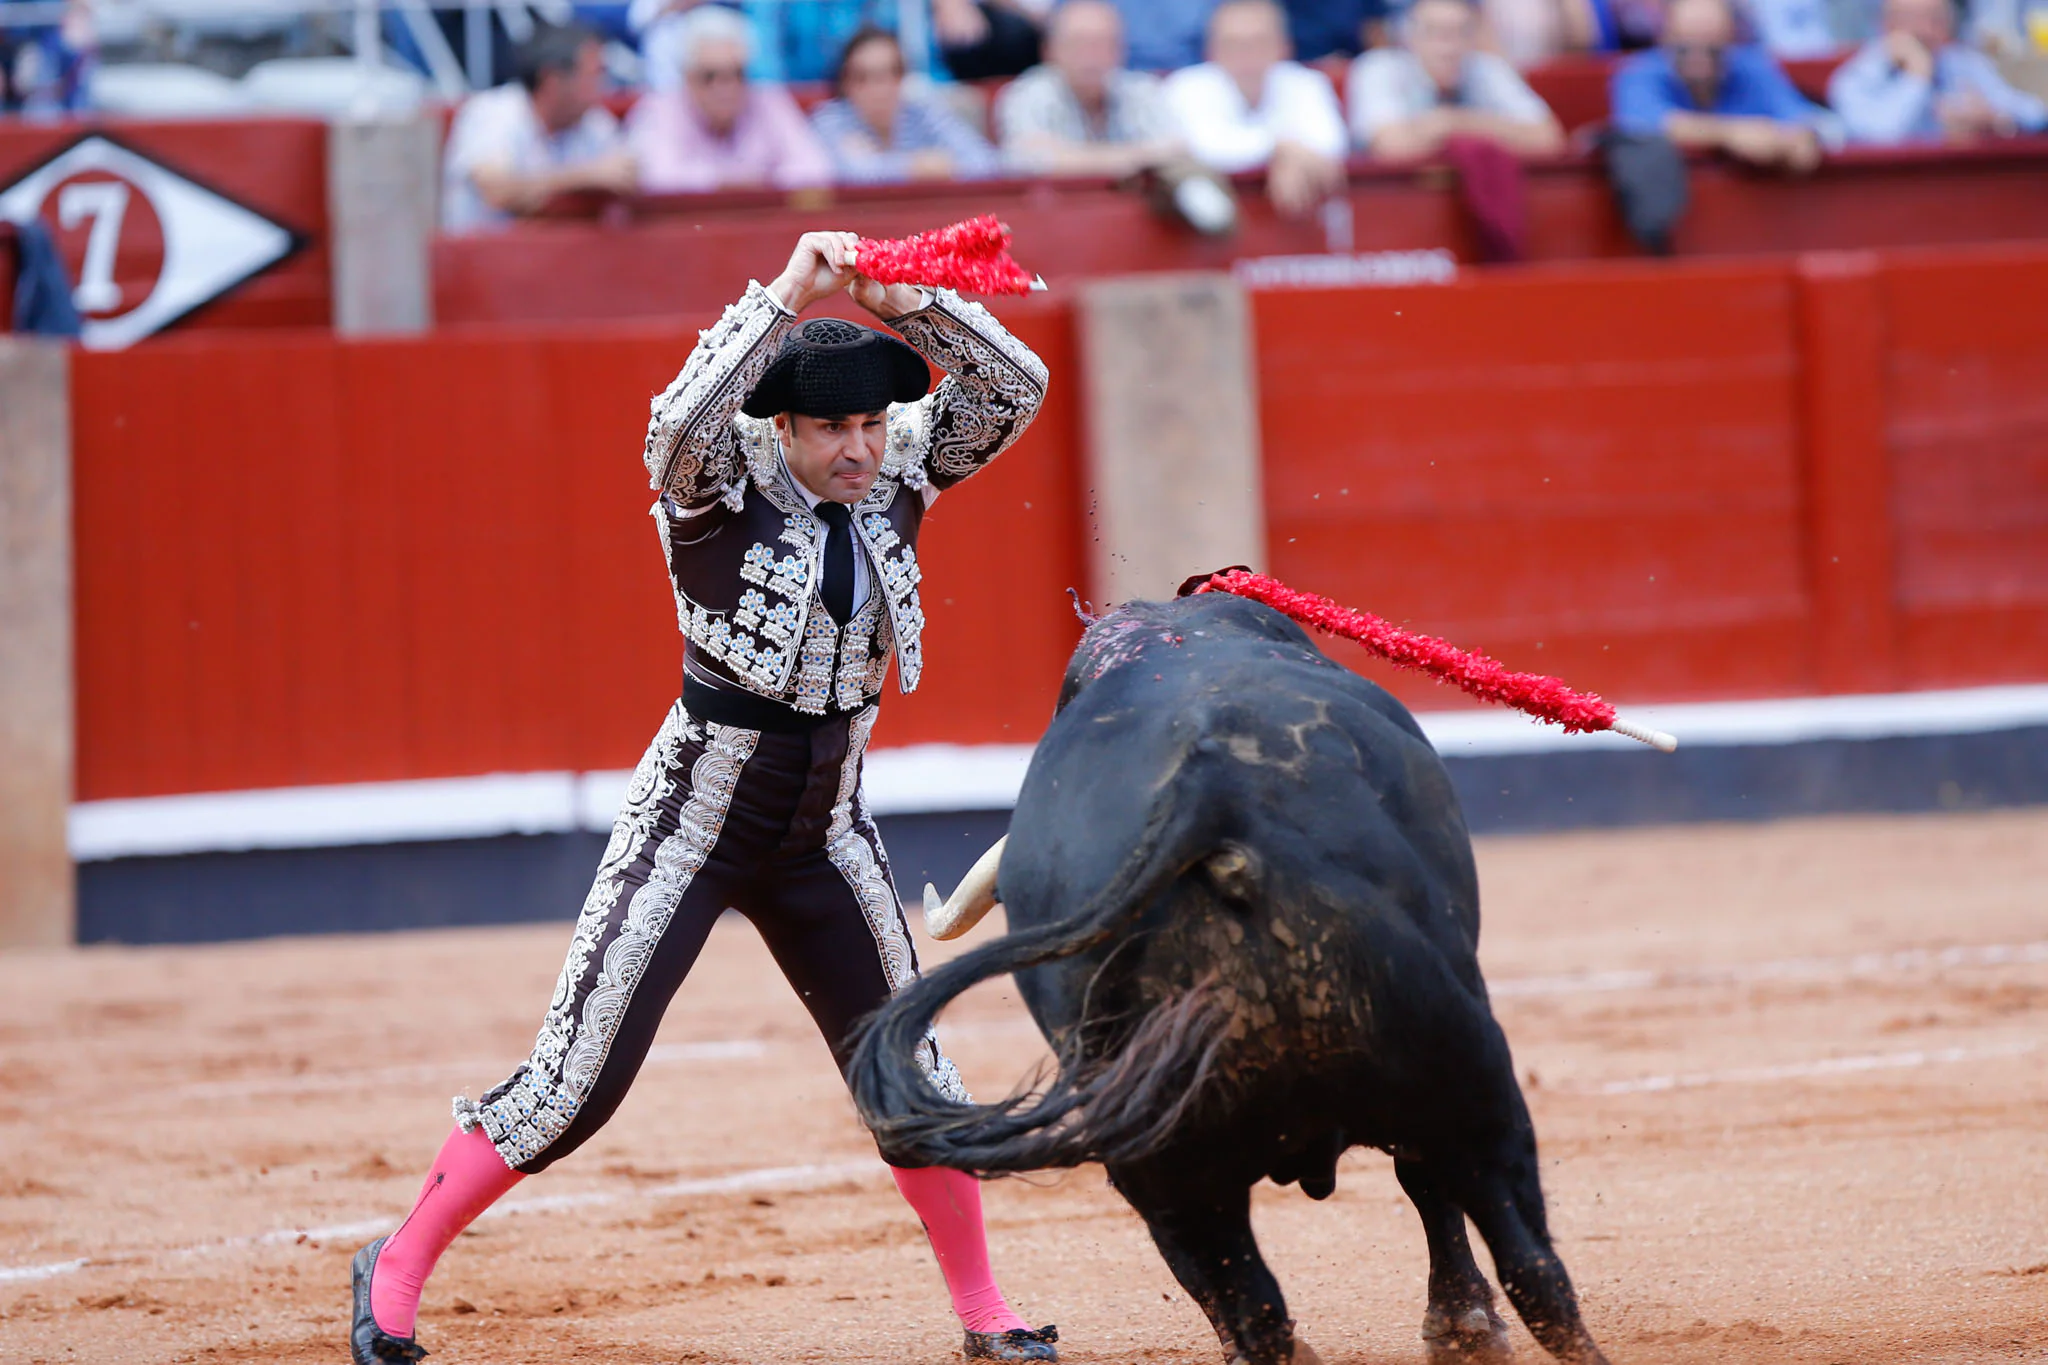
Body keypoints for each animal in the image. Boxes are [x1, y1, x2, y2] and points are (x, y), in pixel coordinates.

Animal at [847, 593, 1613, 1365]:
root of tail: (1209, 795)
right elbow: (1429, 1188)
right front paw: (1463, 1325)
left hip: (1163, 1159)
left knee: (1251, 1299)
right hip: (1468, 1076)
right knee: (1528, 1263)